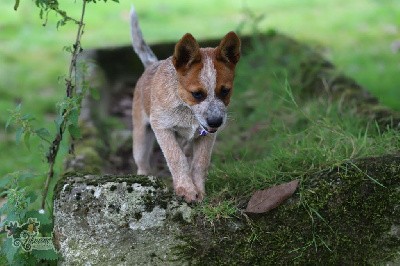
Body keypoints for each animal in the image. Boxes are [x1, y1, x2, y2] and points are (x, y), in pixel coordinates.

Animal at [130, 6, 241, 202]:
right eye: (196, 94)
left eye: (225, 91)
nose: (216, 122)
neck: (186, 110)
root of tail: (151, 65)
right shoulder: (162, 128)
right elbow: (176, 158)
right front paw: (186, 189)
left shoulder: (206, 136)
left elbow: (200, 162)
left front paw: (199, 190)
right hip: (141, 139)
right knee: (143, 163)